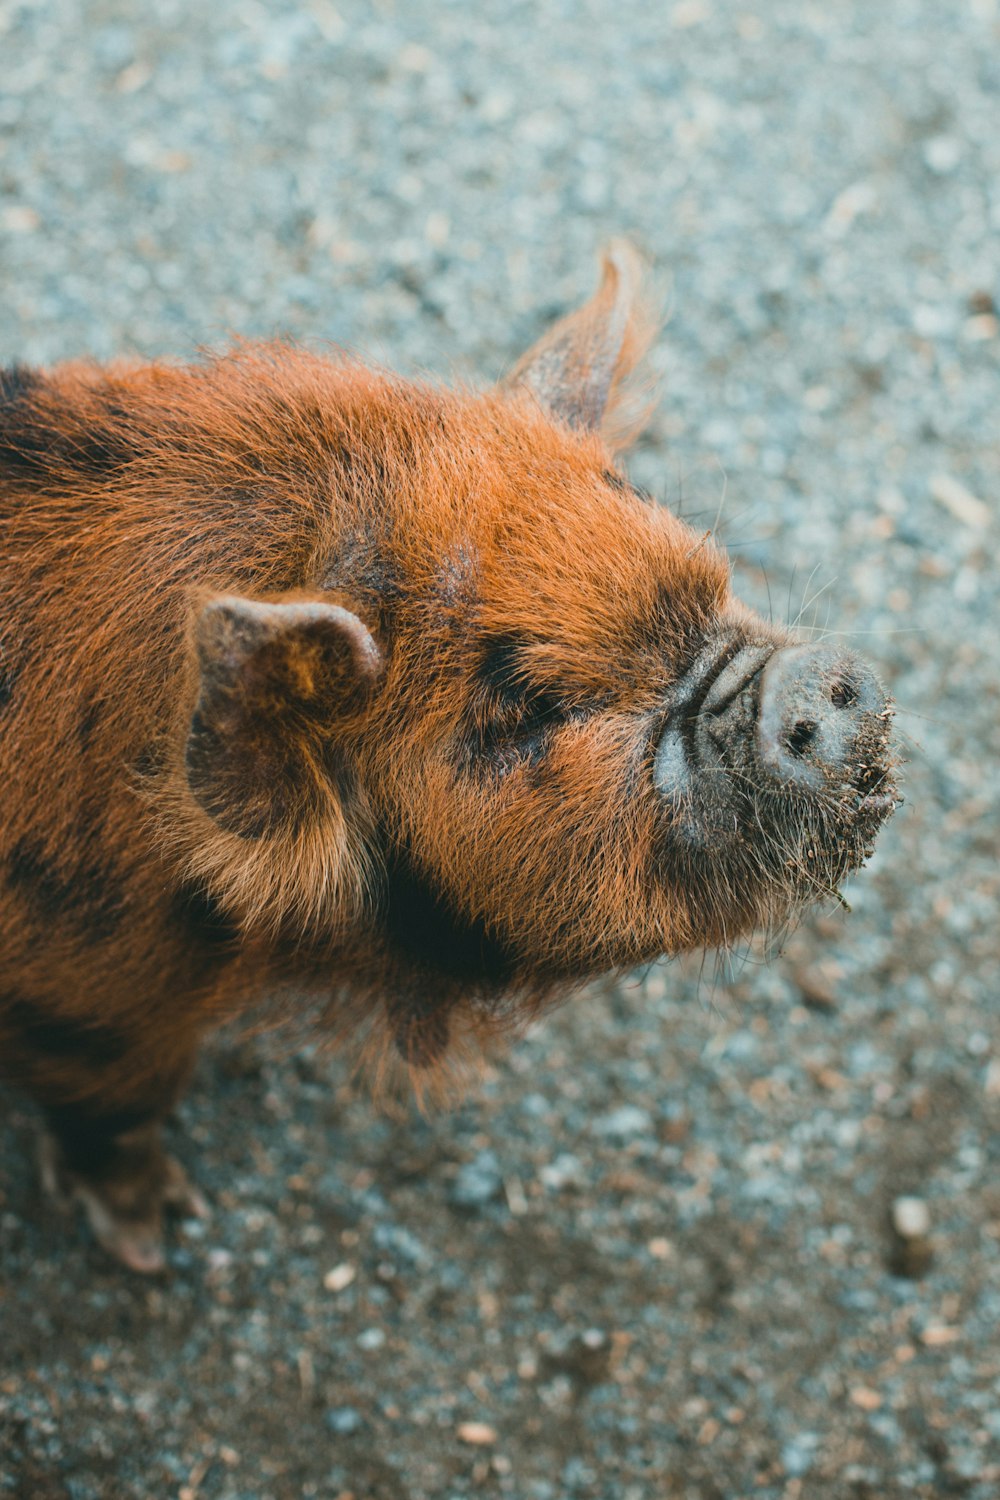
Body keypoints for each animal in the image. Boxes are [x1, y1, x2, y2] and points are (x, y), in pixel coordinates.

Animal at [0, 243, 899, 1266]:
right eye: (525, 716)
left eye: (714, 584)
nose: (821, 680)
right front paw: (156, 1238)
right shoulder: (86, 1004)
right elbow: (119, 1104)